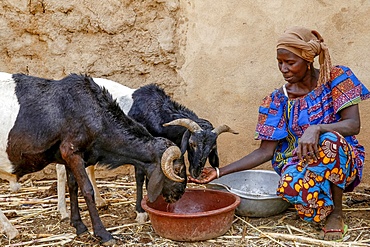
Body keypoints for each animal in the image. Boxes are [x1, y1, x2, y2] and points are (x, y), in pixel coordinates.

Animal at [0, 72, 185, 244]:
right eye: (177, 169)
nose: (179, 194)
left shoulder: (68, 156)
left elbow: (73, 186)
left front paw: (79, 226)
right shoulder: (72, 152)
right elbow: (87, 190)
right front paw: (103, 233)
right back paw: (11, 230)